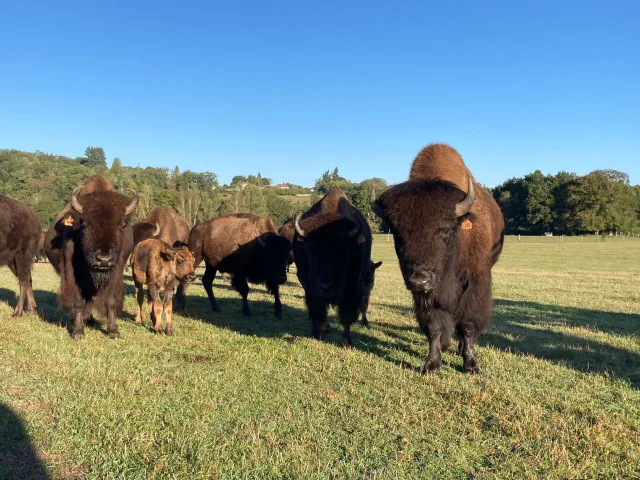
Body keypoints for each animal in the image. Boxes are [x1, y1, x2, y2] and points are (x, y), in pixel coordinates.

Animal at [44, 175, 139, 338]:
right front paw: (78, 332)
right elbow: (78, 301)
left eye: (121, 225)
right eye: (85, 224)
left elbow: (111, 301)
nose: (104, 260)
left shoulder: (116, 271)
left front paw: (113, 331)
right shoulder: (72, 274)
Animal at [292, 186, 372, 346]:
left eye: (343, 251)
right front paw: (319, 332)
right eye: (309, 250)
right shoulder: (310, 287)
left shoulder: (354, 287)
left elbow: (347, 315)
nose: (325, 287)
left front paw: (347, 342)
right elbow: (317, 310)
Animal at [370, 142, 504, 376]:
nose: (419, 280)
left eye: (445, 231)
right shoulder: (426, 296)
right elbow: (434, 327)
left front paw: (471, 364)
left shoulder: (476, 282)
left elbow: (468, 324)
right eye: (397, 233)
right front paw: (431, 365)